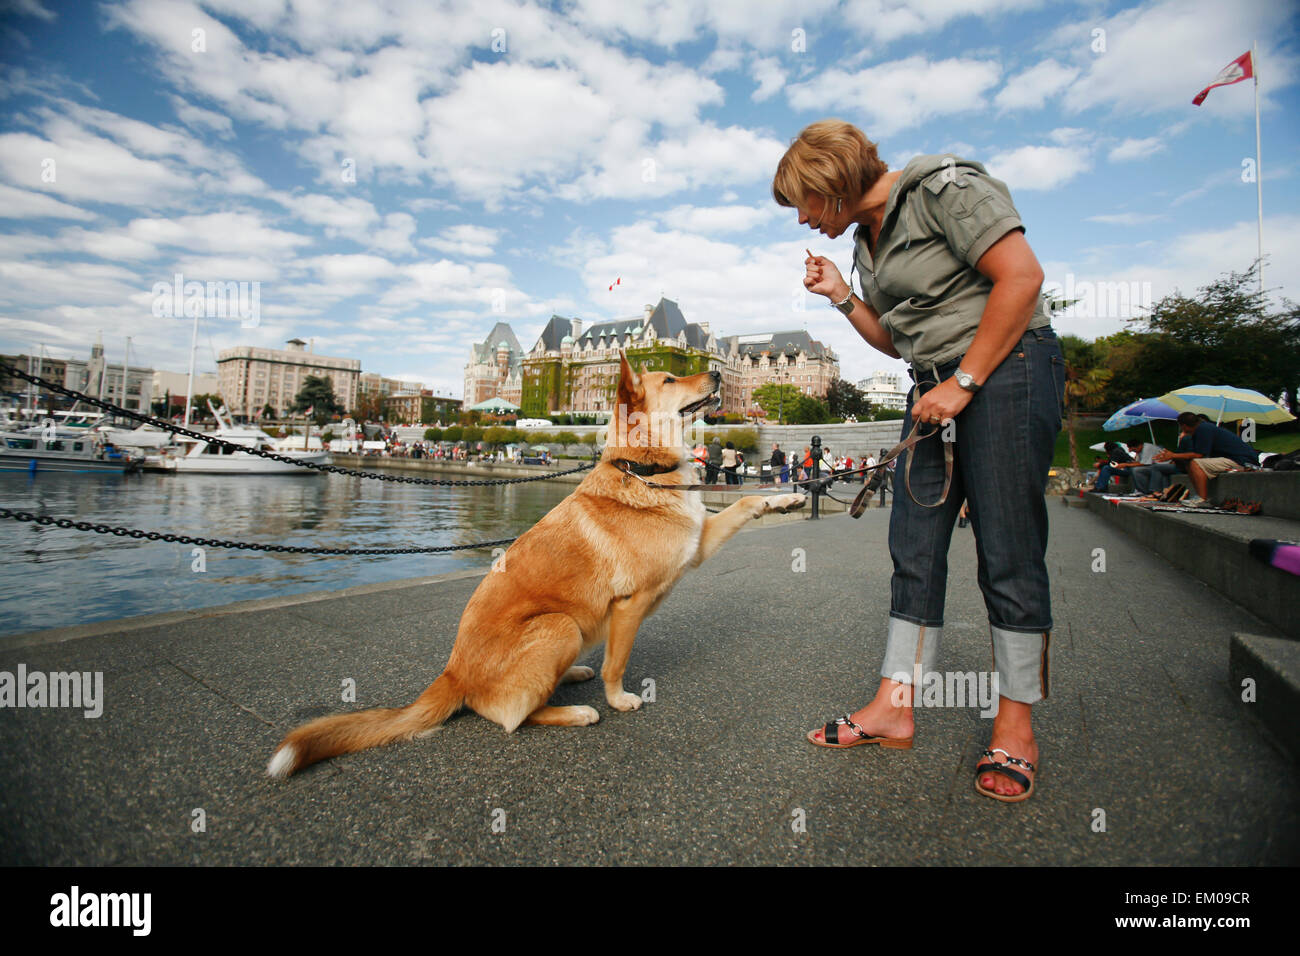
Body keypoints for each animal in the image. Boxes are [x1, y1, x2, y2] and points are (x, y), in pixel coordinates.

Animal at [266, 351, 800, 780]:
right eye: (669, 379)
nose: (716, 372)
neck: (642, 471)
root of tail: (453, 675)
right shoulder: (629, 604)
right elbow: (616, 665)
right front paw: (619, 700)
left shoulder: (697, 543)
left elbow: (742, 504)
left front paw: (787, 498)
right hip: (560, 624)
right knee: (514, 716)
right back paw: (577, 712)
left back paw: (573, 677)